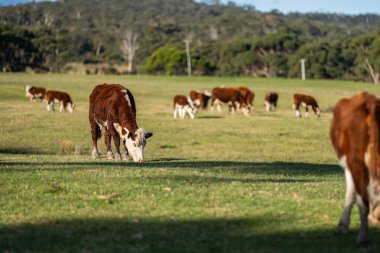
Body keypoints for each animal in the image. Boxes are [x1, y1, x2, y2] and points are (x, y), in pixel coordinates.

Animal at [330, 92, 380, 244]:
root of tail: (369, 100)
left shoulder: (348, 166)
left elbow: (351, 194)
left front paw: (342, 226)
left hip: (355, 163)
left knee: (363, 200)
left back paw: (363, 237)